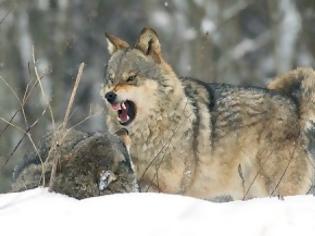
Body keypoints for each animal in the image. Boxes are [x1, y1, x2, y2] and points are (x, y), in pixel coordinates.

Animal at [102, 27, 315, 200]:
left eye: (131, 78)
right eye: (111, 79)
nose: (109, 95)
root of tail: (293, 104)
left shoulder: (172, 188)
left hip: (276, 186)